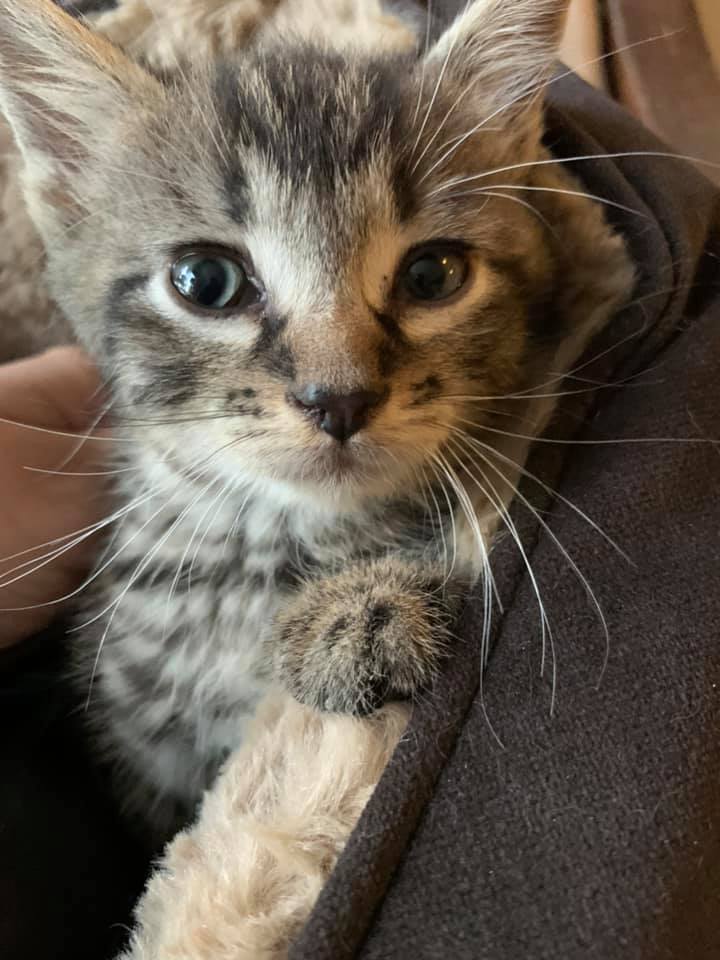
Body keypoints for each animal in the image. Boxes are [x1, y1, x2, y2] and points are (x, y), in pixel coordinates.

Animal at [0, 0, 633, 841]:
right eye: (206, 280)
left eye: (433, 274)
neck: (272, 549)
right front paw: (357, 611)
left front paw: (362, 607)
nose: (338, 399)